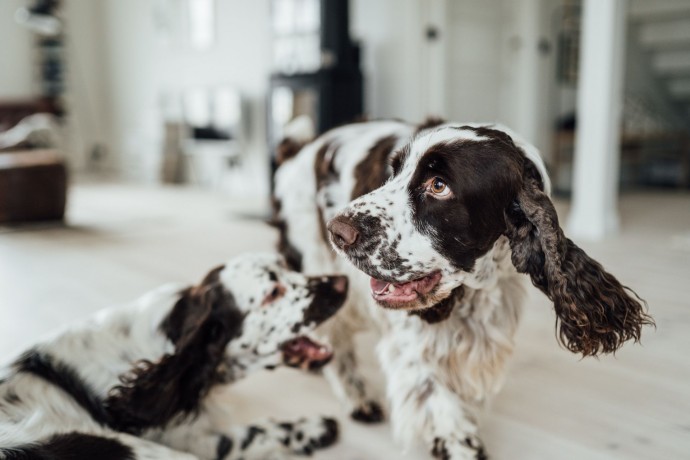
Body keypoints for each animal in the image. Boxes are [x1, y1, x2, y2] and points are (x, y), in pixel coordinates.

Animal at [0, 253, 344, 460]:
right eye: (273, 293)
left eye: (288, 264)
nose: (343, 281)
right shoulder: (193, 440)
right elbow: (253, 432)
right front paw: (316, 427)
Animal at [272, 119, 652, 460]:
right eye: (393, 173)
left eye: (439, 185)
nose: (337, 230)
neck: (473, 288)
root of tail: (301, 149)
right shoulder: (413, 346)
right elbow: (439, 402)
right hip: (315, 263)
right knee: (334, 338)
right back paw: (357, 398)